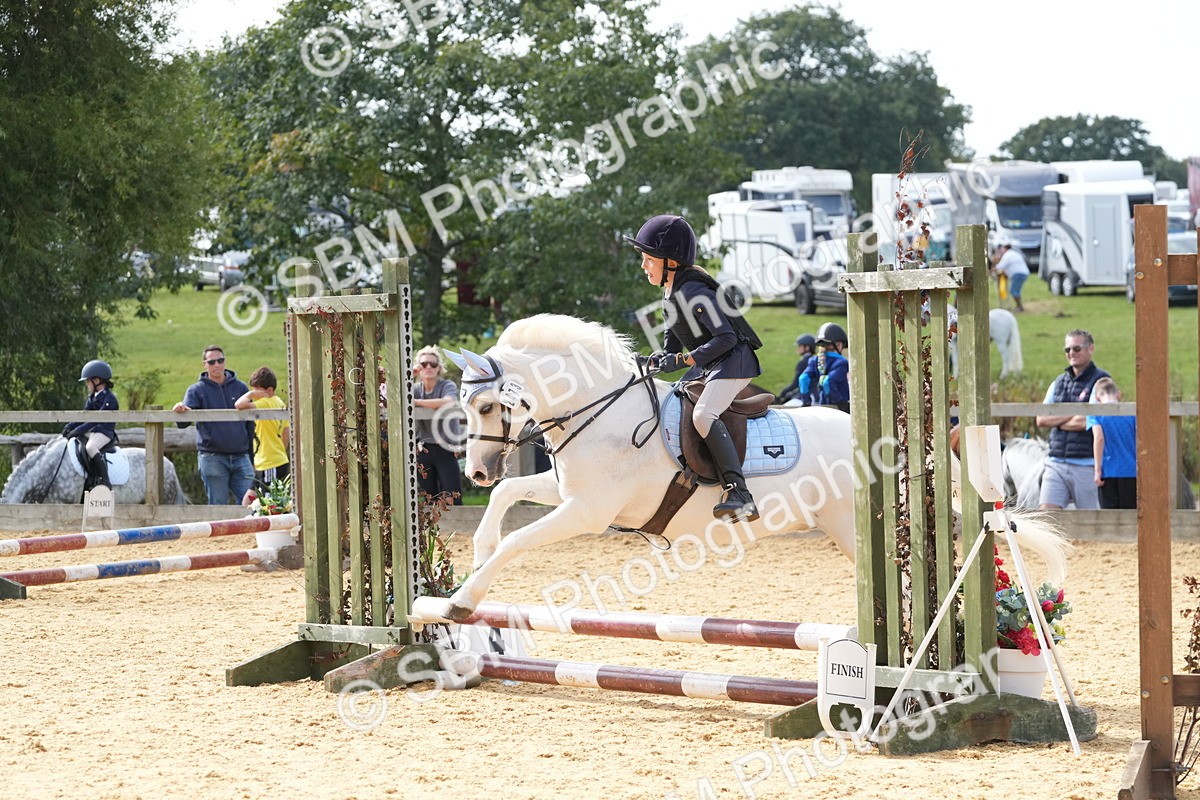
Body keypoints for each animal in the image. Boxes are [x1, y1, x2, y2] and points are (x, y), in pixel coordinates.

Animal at [430, 313, 1068, 621]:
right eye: (462, 402)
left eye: (486, 406)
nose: (476, 472)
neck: (600, 408)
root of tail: (893, 442)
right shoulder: (566, 494)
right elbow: (508, 497)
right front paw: (477, 552)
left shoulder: (586, 511)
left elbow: (518, 543)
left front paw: (463, 600)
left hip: (863, 525)